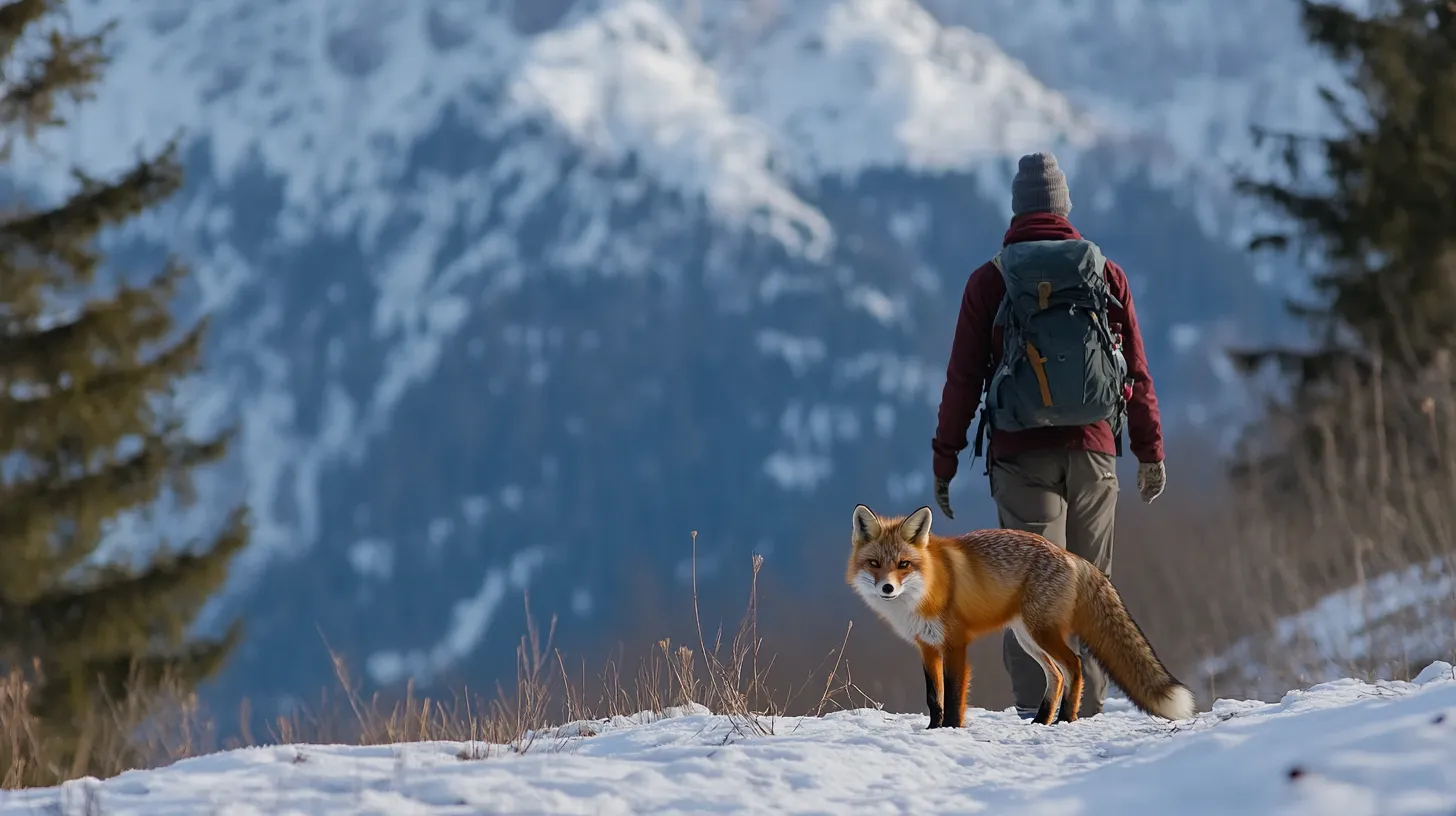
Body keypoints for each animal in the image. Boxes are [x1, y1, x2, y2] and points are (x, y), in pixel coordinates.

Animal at [846, 503, 1195, 729]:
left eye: (903, 564)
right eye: (874, 564)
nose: (887, 588)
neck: (927, 588)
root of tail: (1071, 555)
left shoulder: (955, 644)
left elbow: (955, 694)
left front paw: (951, 729)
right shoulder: (927, 646)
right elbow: (935, 697)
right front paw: (933, 730)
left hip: (1041, 633)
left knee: (1074, 666)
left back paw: (1065, 719)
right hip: (1027, 638)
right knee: (1056, 675)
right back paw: (1041, 720)